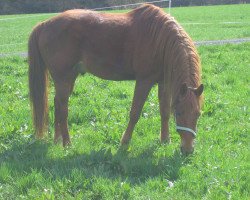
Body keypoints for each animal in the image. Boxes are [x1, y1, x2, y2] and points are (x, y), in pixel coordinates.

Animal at [28, 3, 203, 155]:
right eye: (179, 113)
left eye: (198, 114)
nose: (188, 150)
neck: (160, 40)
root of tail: (44, 24)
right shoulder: (144, 81)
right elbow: (135, 113)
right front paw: (124, 142)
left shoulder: (164, 82)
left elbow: (164, 111)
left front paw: (165, 140)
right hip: (63, 79)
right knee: (63, 109)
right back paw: (67, 143)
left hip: (68, 78)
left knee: (57, 104)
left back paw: (57, 140)